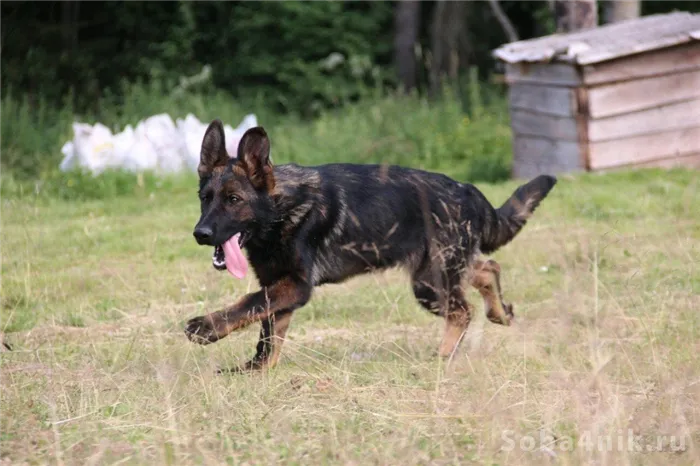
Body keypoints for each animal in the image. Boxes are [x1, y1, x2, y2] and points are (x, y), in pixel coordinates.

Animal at [186, 119, 556, 372]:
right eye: (205, 198)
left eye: (234, 200)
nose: (200, 234)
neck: (279, 210)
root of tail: (469, 190)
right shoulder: (279, 285)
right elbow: (266, 330)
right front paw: (256, 370)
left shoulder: (295, 285)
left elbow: (249, 304)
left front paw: (207, 327)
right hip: (440, 268)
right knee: (487, 268)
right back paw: (500, 311)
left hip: (429, 281)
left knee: (463, 310)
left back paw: (442, 357)